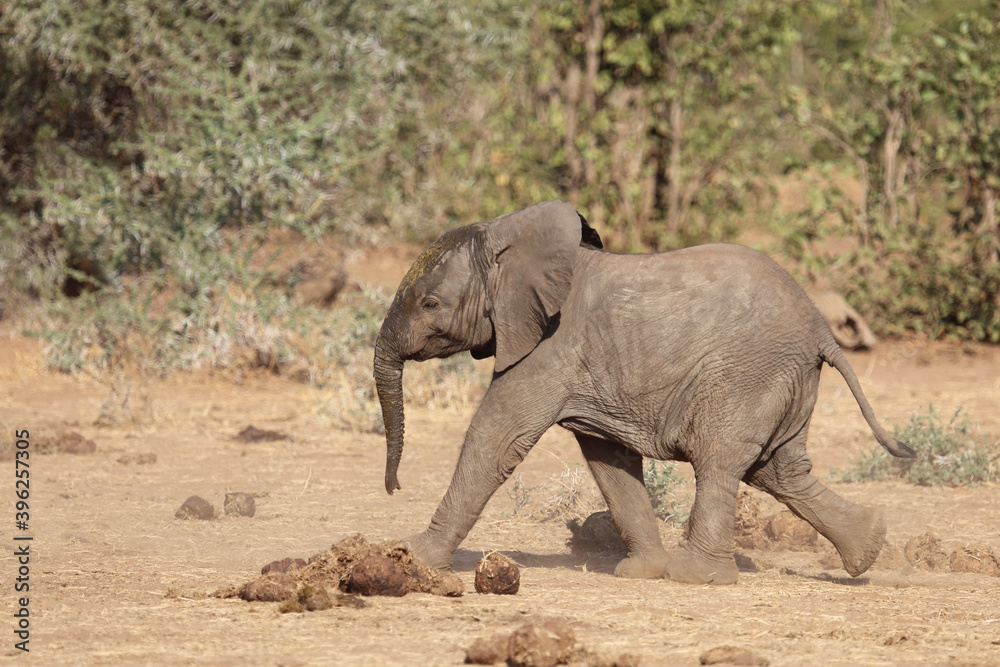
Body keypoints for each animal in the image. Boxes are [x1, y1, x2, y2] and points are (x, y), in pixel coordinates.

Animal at [373, 200, 914, 585]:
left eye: (430, 303)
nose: (393, 488)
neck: (511, 239)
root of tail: (822, 328)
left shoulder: (548, 346)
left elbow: (496, 440)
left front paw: (413, 555)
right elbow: (608, 459)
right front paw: (640, 573)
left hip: (747, 375)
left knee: (721, 461)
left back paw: (698, 577)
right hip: (783, 379)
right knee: (779, 470)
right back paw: (869, 546)